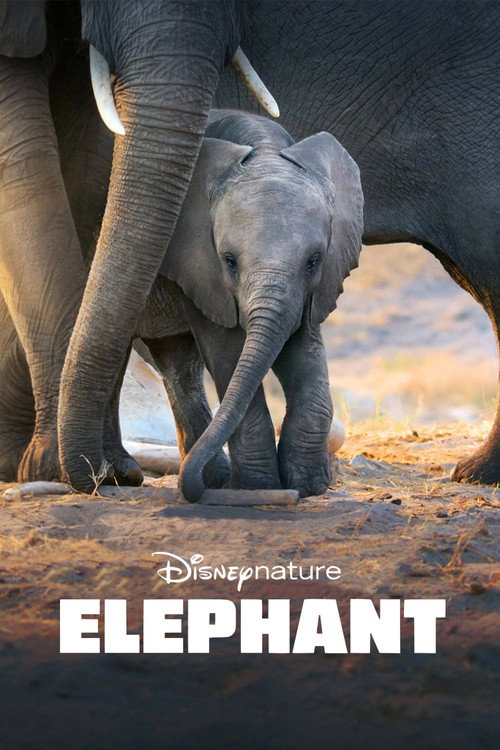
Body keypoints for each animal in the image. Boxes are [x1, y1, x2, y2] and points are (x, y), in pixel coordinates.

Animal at [0, 1, 497, 492]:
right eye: (229, 261)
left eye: (315, 260)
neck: (263, 148)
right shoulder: (203, 269)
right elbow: (228, 350)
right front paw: (261, 486)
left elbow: (301, 347)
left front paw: (307, 484)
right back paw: (120, 472)